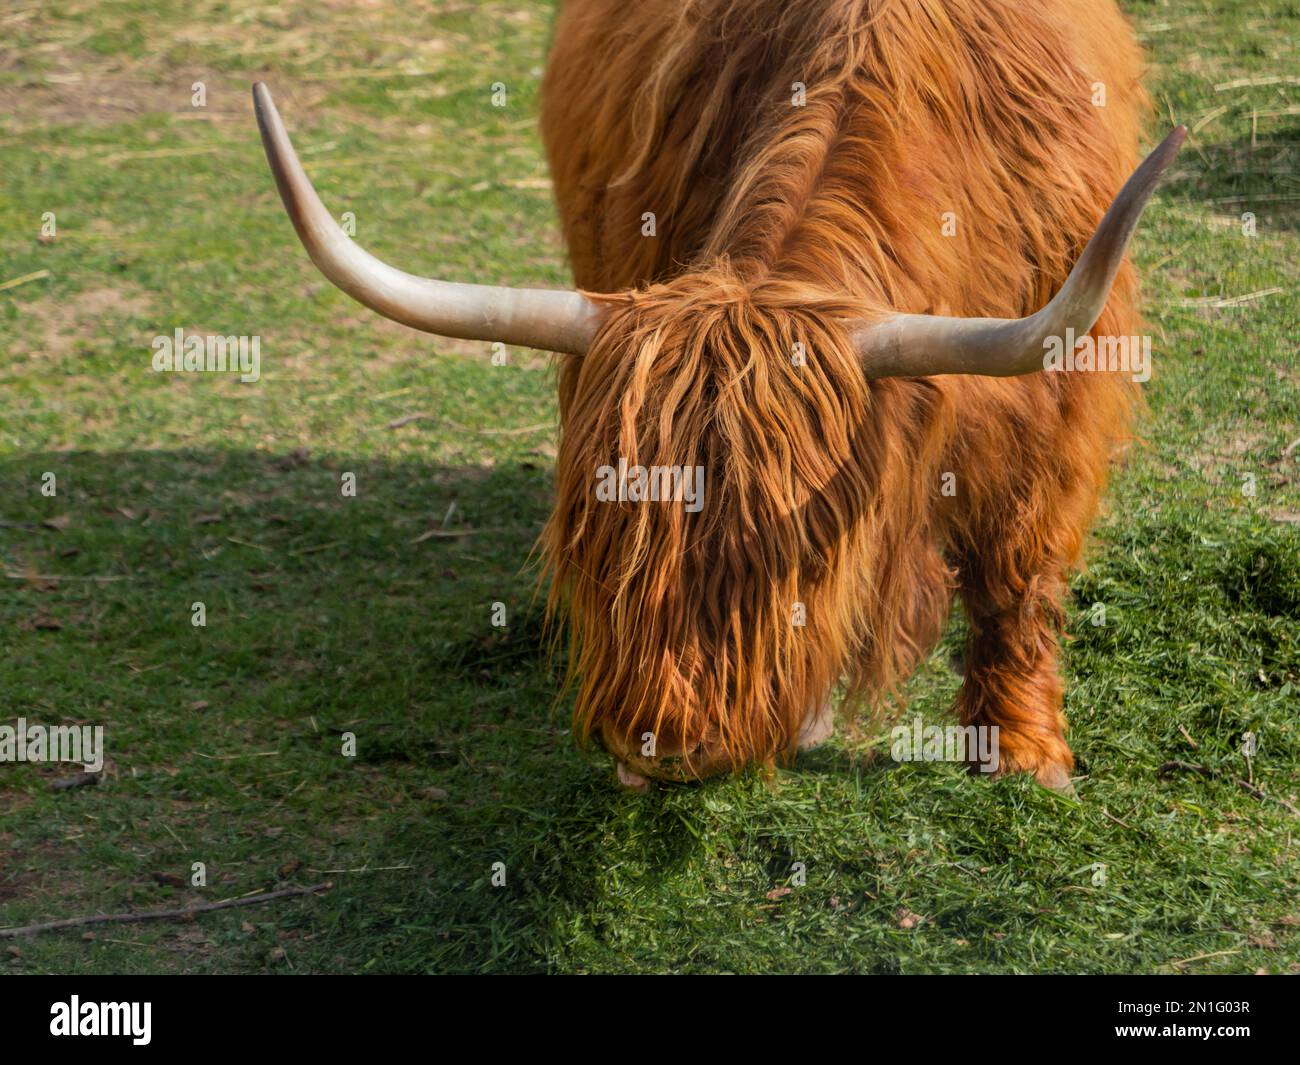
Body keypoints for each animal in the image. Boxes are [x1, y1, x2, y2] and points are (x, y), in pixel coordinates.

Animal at [252, 0, 1184, 794]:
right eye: (597, 543)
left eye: (784, 560)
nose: (658, 744)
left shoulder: (1058, 403)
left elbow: (1016, 575)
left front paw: (1026, 752)